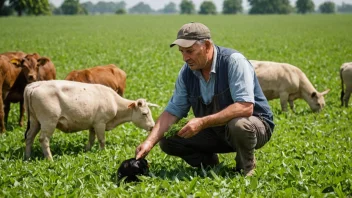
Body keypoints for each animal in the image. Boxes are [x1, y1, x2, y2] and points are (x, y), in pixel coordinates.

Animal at [24, 79, 155, 160]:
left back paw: (27, 157)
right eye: (144, 113)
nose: (153, 126)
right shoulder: (100, 123)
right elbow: (102, 140)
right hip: (49, 121)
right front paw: (103, 153)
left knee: (29, 137)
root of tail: (34, 85)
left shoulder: (93, 125)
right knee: (43, 139)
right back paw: (50, 159)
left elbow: (91, 140)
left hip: (35, 121)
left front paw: (86, 151)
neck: (115, 102)